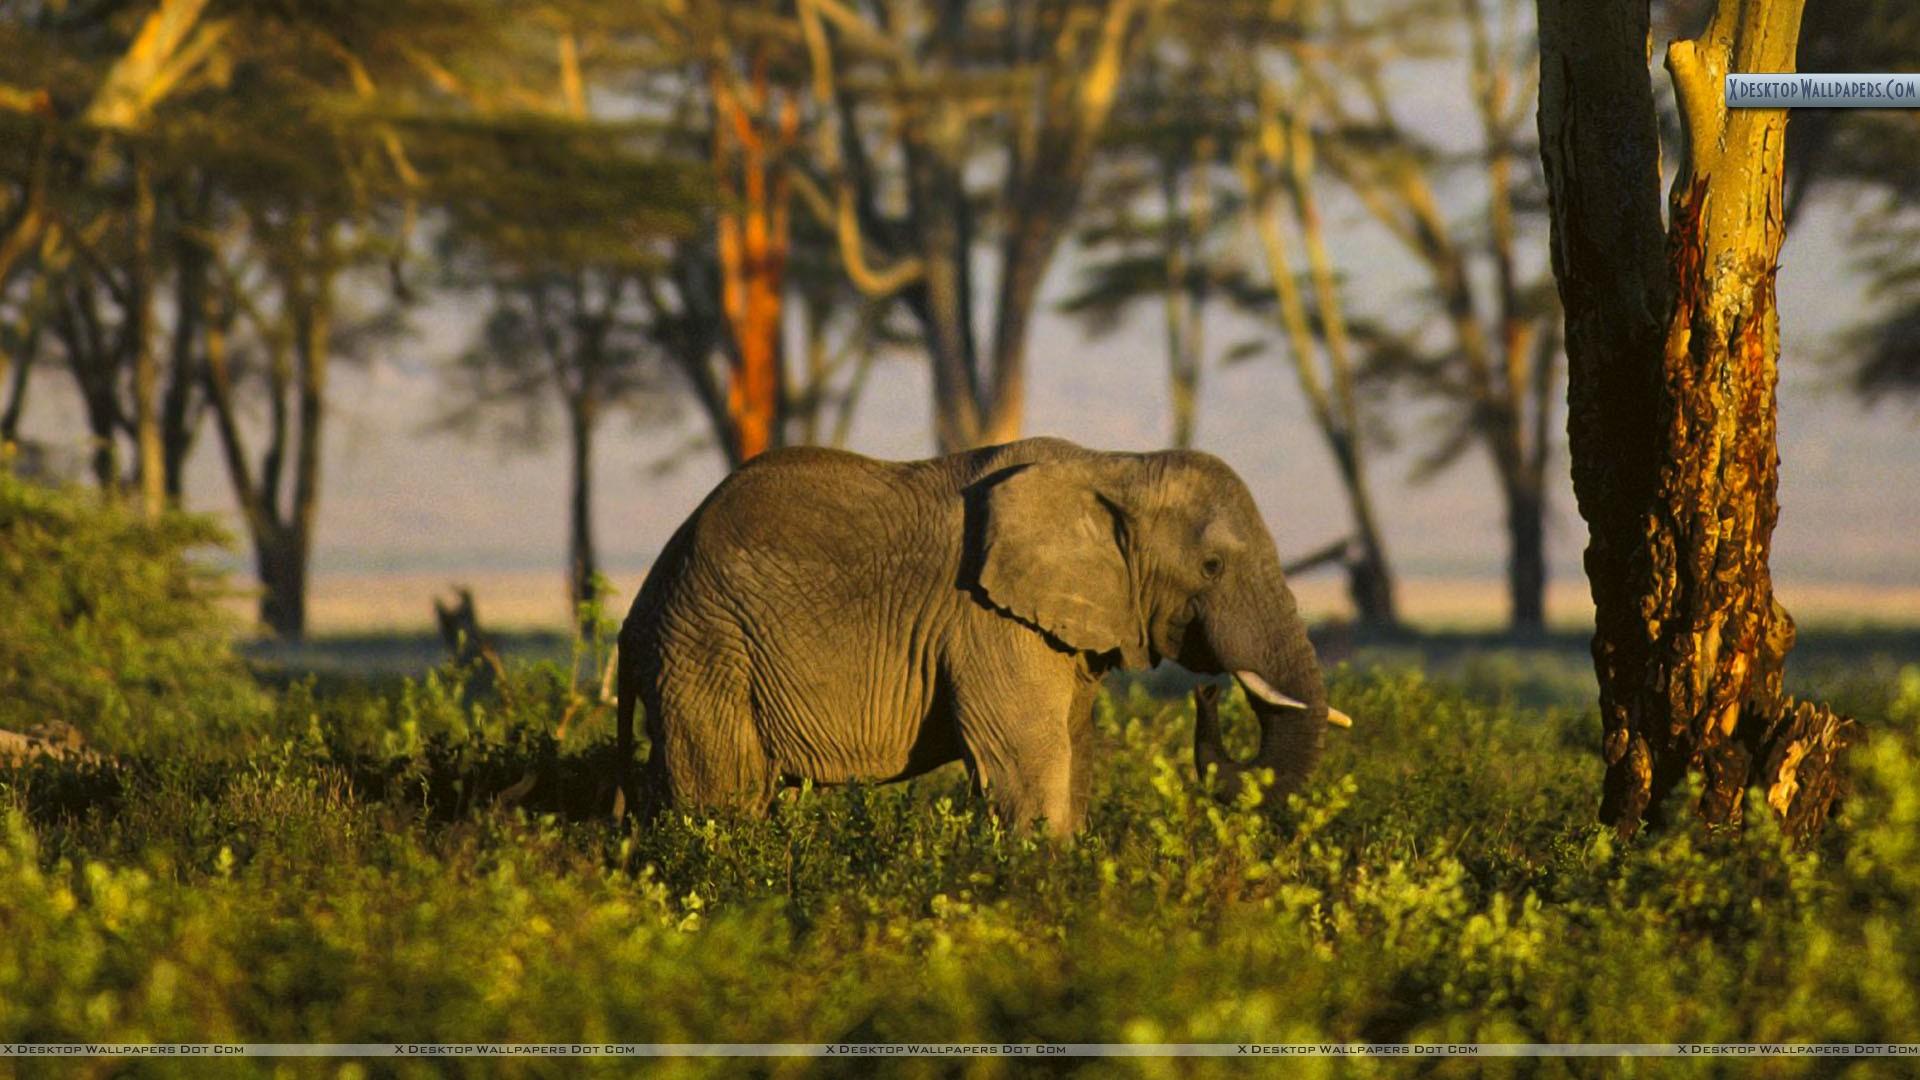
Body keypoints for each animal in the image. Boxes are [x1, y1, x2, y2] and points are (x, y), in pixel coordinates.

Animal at [614, 436, 1351, 836]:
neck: (1114, 467)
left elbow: (1073, 757)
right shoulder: (989, 620)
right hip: (706, 645)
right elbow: (1031, 766)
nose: (1207, 695)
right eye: (1213, 566)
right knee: (725, 796)